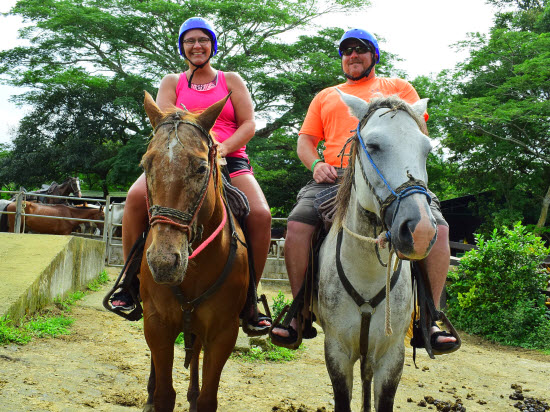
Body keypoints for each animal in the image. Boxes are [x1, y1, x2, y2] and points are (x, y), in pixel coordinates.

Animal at [141, 91, 249, 410]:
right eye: (146, 165)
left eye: (201, 167)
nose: (164, 263)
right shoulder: (157, 324)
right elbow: (164, 395)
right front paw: (155, 394)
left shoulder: (223, 333)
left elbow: (207, 399)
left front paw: (196, 396)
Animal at [320, 92, 440, 412]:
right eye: (373, 146)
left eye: (426, 150)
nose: (421, 231)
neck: (367, 274)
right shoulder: (336, 351)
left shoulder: (391, 355)